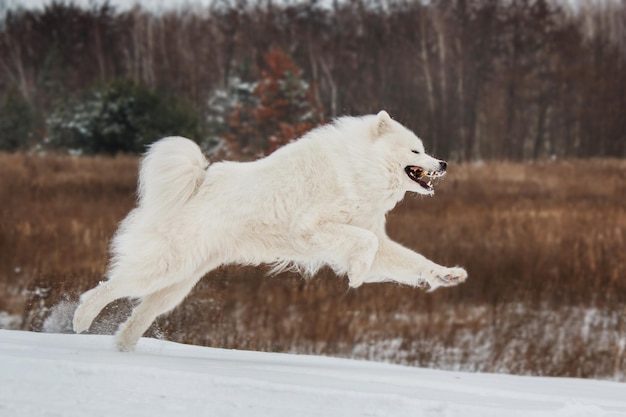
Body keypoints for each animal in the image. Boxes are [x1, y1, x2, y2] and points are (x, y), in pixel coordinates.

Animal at [72, 110, 464, 352]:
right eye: (416, 151)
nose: (444, 163)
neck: (358, 168)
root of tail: (194, 186)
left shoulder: (372, 236)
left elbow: (412, 259)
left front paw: (446, 275)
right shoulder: (311, 228)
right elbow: (364, 245)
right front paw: (356, 274)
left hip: (178, 284)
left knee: (140, 314)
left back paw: (123, 348)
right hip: (165, 267)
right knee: (110, 287)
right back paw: (81, 318)